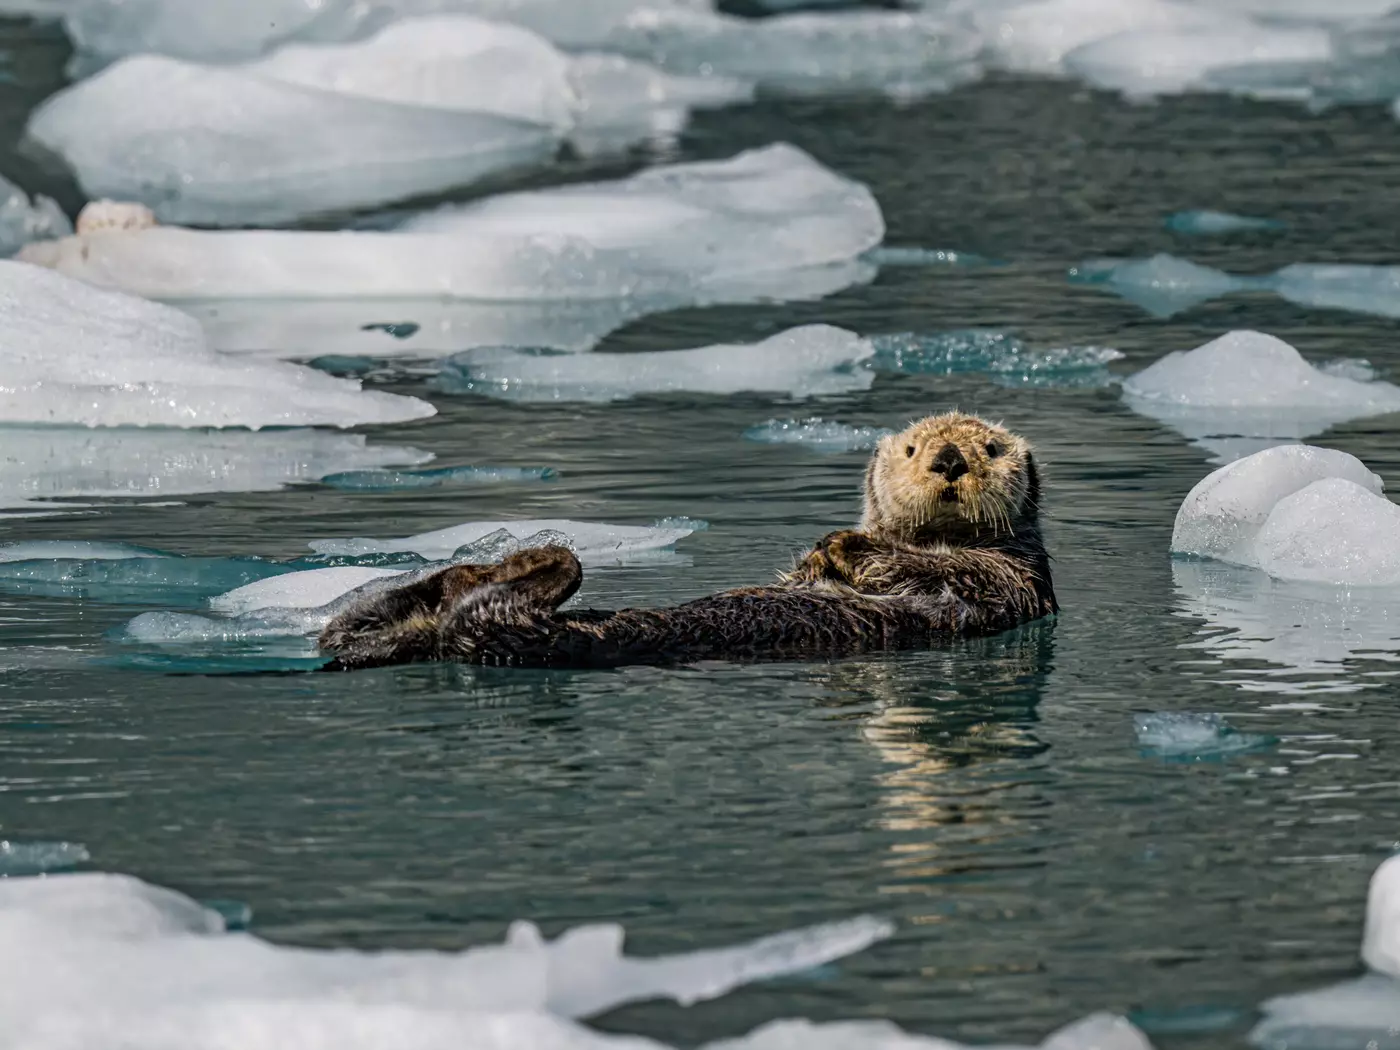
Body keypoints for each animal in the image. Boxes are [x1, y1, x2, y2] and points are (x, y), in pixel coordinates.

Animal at [317, 412, 1057, 671]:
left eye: (990, 448)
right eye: (910, 449)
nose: (949, 460)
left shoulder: (1011, 580)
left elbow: (943, 570)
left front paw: (843, 543)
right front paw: (822, 550)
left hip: (526, 634)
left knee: (491, 609)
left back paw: (534, 558)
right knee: (357, 624)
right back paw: (478, 568)